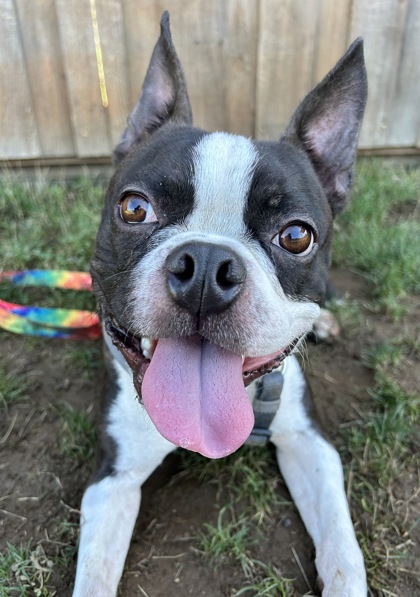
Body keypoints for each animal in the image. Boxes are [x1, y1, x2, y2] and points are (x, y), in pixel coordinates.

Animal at [72, 11, 368, 592]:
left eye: (296, 236)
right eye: (134, 208)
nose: (207, 267)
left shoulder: (310, 443)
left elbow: (345, 552)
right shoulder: (113, 478)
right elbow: (93, 574)